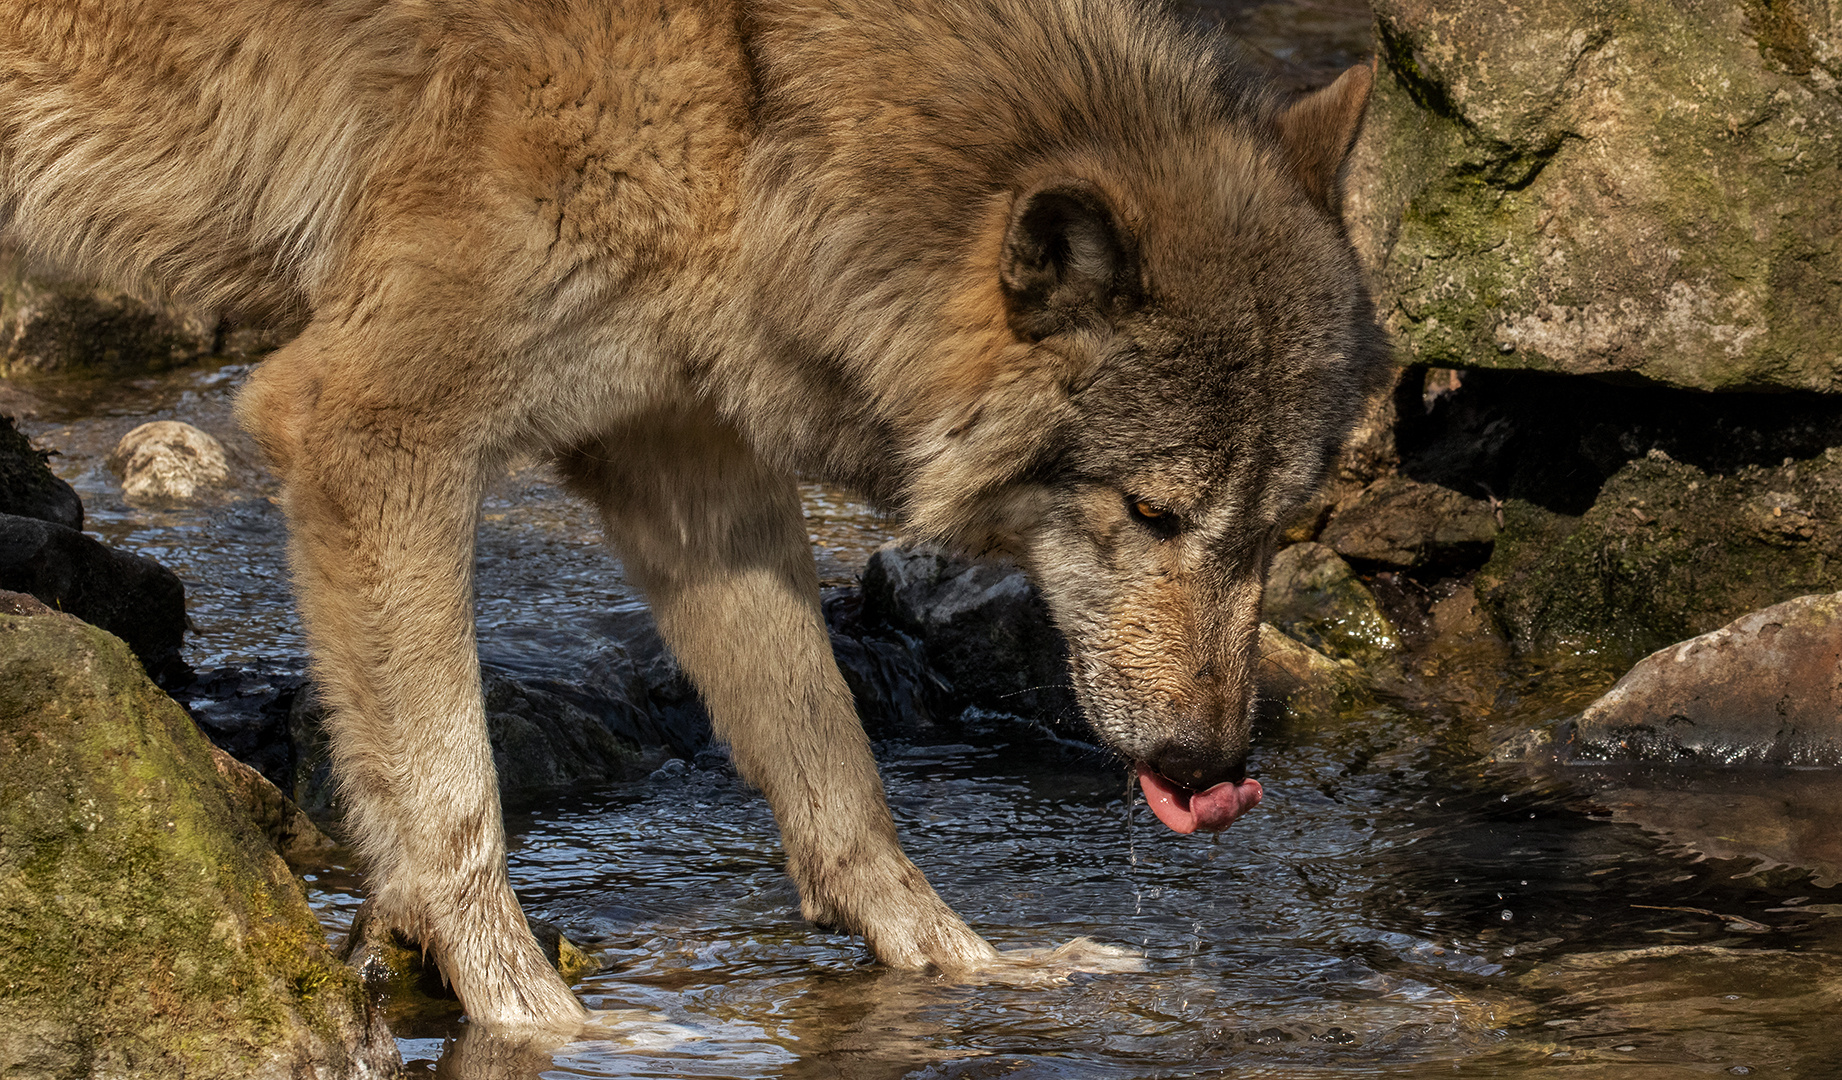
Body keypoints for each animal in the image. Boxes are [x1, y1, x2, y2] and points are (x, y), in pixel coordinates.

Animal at [0, 0, 1385, 1032]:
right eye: (1152, 511)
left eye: (1275, 528)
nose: (1213, 769)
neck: (754, 93)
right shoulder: (364, 425)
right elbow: (452, 800)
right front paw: (543, 1027)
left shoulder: (683, 460)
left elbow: (832, 760)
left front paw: (964, 965)